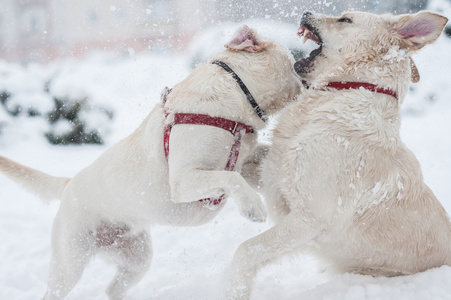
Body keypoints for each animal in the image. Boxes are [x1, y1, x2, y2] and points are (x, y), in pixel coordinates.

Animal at [0, 24, 304, 298]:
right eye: (293, 61)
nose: (305, 67)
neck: (236, 98)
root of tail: (68, 184)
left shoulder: (246, 158)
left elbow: (253, 163)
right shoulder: (183, 180)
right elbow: (230, 176)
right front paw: (252, 205)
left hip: (137, 259)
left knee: (112, 289)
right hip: (70, 262)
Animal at [228, 10, 451, 298]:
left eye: (344, 19)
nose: (305, 12)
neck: (347, 90)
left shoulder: (309, 218)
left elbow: (247, 250)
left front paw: (233, 290)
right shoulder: (274, 171)